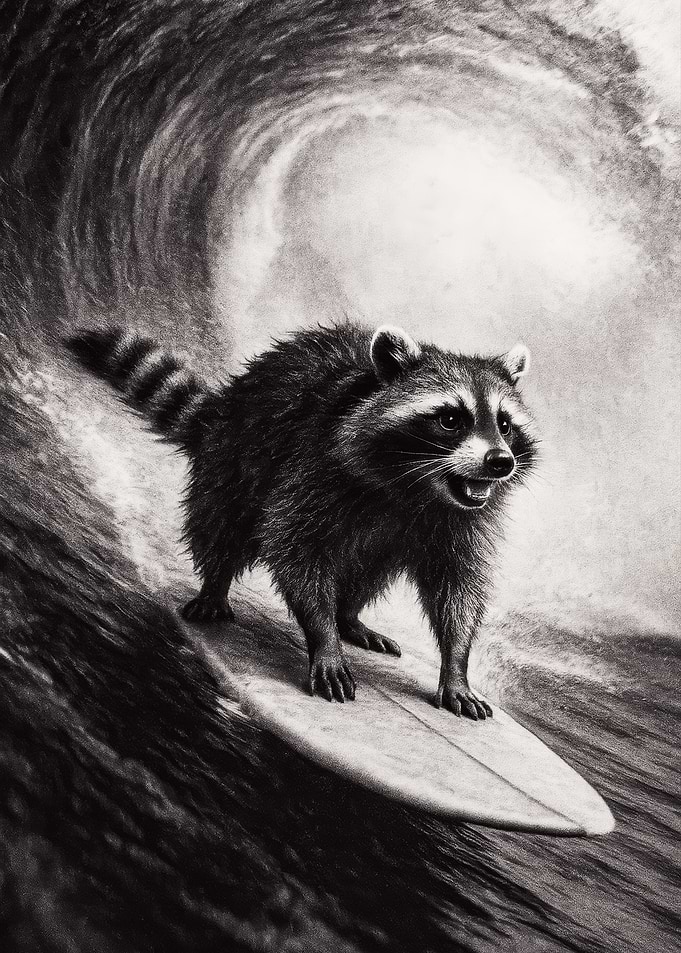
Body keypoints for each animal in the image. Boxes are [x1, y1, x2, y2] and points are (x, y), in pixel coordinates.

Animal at [67, 323, 538, 718]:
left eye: (504, 424)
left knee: (368, 570)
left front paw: (456, 665)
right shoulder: (312, 466)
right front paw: (323, 639)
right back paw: (217, 583)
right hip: (235, 453)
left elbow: (457, 586)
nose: (500, 463)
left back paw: (349, 616)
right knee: (222, 522)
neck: (414, 489)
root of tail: (224, 403)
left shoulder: (459, 523)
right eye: (450, 419)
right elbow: (296, 550)